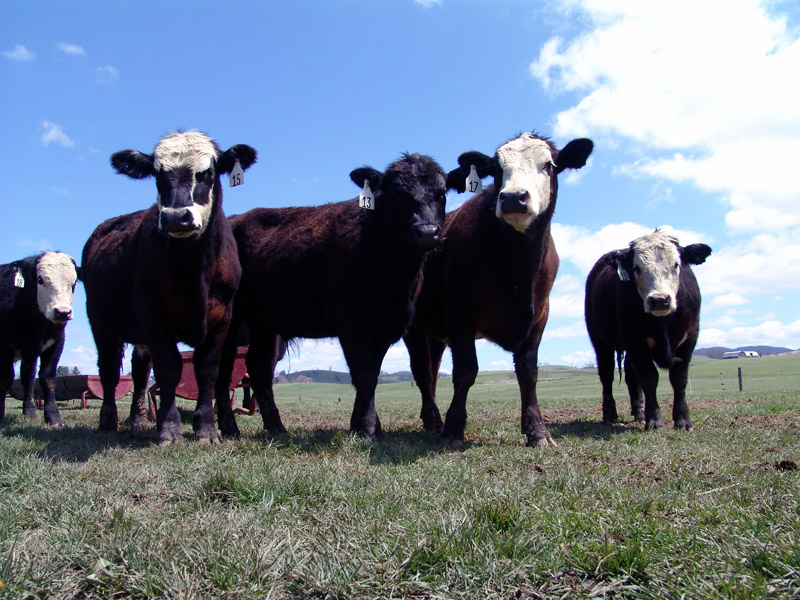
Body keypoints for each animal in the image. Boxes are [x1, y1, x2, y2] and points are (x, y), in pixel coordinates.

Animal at [0, 252, 78, 426]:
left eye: (74, 282)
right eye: (40, 280)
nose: (62, 312)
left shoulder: (56, 343)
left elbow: (46, 378)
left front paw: (53, 417)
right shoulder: (5, 346)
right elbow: (9, 378)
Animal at [81, 131, 256, 445]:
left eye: (207, 172)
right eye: (157, 175)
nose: (176, 217)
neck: (195, 266)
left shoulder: (223, 316)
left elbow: (207, 370)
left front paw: (206, 428)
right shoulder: (153, 312)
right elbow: (169, 369)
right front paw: (169, 428)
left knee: (139, 373)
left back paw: (137, 420)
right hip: (100, 323)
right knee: (109, 372)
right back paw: (108, 421)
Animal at [214, 153, 446, 441]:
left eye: (442, 193)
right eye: (398, 193)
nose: (427, 232)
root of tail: (235, 220)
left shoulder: (386, 325)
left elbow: (372, 373)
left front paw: (362, 425)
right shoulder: (352, 321)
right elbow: (364, 374)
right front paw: (369, 429)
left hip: (264, 322)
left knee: (258, 367)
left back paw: (277, 428)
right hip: (231, 317)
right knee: (223, 367)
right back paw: (229, 427)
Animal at [404, 132, 594, 447]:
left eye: (549, 164)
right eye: (495, 169)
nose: (513, 197)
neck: (519, 267)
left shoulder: (540, 315)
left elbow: (528, 373)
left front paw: (537, 431)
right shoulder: (460, 312)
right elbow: (465, 371)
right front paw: (454, 430)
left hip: (436, 334)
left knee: (431, 371)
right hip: (414, 328)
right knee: (422, 373)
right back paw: (434, 421)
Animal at [584, 230, 712, 431]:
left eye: (676, 264)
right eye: (636, 268)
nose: (659, 299)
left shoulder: (689, 338)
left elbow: (679, 379)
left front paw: (683, 420)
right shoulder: (635, 341)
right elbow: (649, 378)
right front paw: (654, 419)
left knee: (630, 376)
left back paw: (639, 413)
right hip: (600, 341)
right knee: (607, 375)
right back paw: (610, 414)